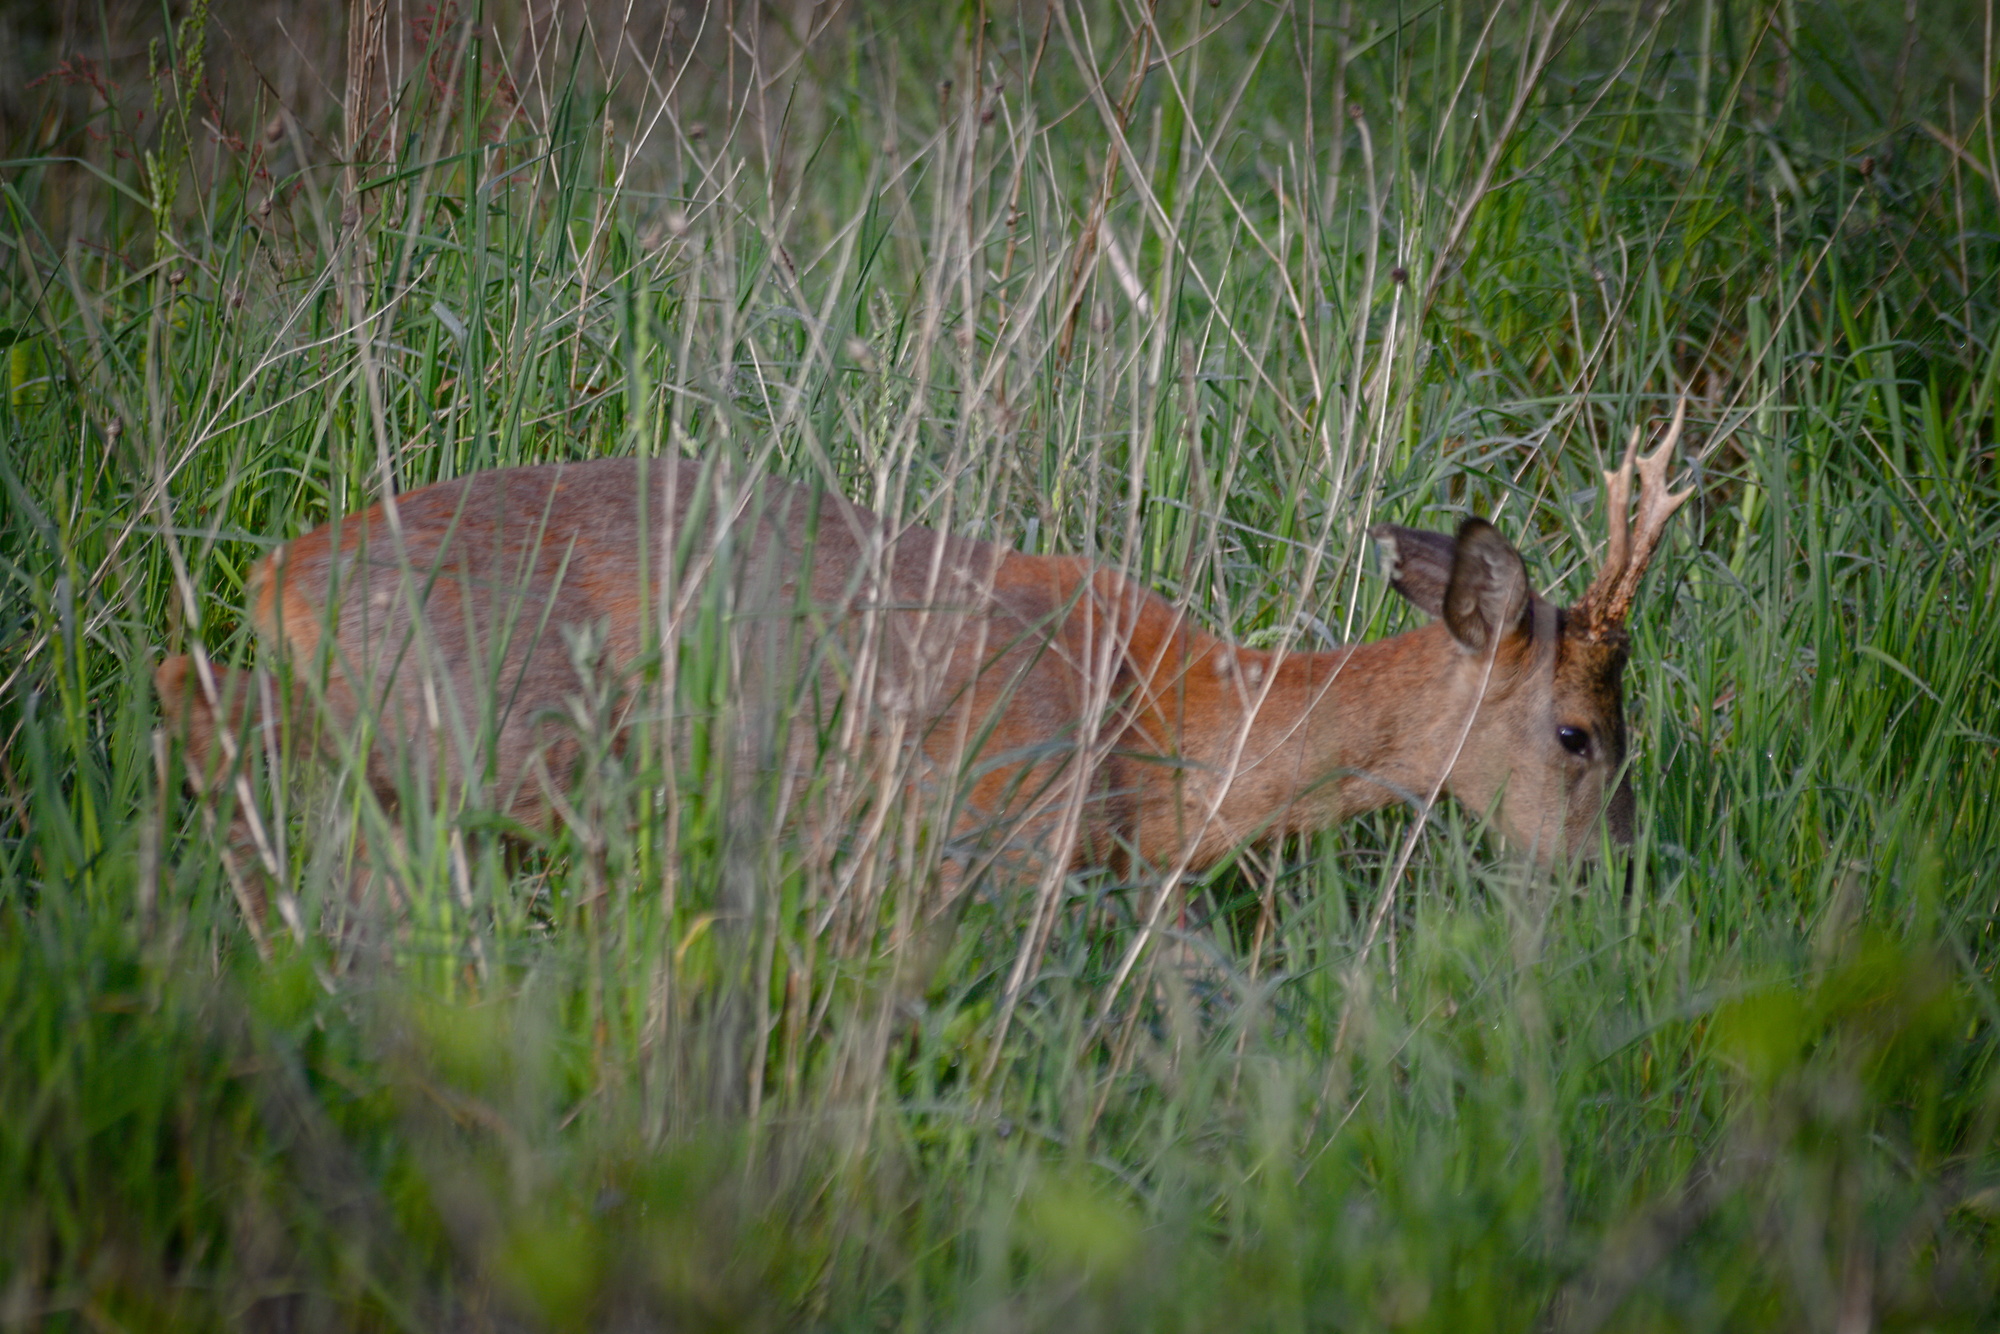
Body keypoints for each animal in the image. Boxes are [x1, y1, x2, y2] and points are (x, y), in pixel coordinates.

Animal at [152, 408, 1688, 908]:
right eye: (1576, 731)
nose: (1621, 873)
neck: (1184, 726)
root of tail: (282, 574)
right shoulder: (987, 829)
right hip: (478, 727)